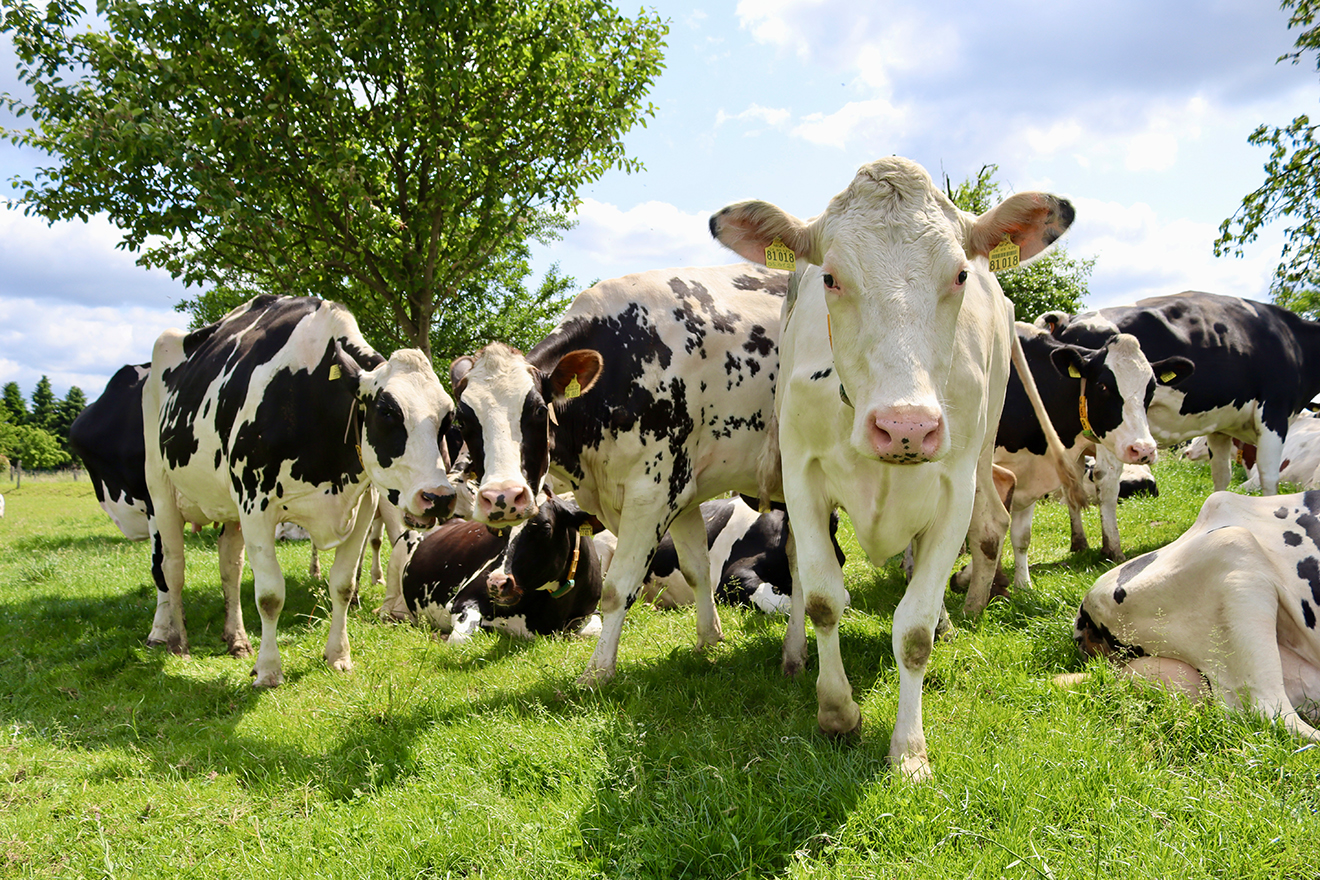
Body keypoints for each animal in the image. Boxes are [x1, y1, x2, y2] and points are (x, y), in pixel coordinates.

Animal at [142, 294, 458, 687]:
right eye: (387, 411)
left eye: (448, 415)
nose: (439, 497)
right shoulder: (255, 504)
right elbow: (269, 595)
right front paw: (268, 670)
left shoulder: (363, 503)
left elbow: (343, 585)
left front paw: (338, 655)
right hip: (160, 488)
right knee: (171, 566)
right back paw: (175, 640)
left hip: (228, 507)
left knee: (230, 566)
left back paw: (237, 639)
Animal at [390, 494, 602, 640]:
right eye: (503, 529)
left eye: (545, 528)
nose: (496, 582)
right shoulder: (461, 600)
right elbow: (459, 639)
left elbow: (595, 629)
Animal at [449, 263, 789, 686]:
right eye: (462, 421)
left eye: (539, 410)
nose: (503, 497)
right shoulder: (681, 493)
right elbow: (697, 571)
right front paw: (708, 642)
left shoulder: (653, 493)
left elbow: (617, 589)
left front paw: (597, 672)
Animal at [710, 156, 1075, 779]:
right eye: (831, 278)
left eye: (959, 275)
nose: (906, 425)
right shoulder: (801, 477)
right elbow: (824, 597)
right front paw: (836, 712)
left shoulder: (954, 487)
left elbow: (914, 630)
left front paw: (909, 749)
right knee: (800, 569)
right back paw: (794, 654)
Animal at [1041, 292, 1320, 505]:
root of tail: (1067, 319)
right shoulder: (1274, 412)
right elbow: (1268, 476)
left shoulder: (1220, 427)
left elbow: (1221, 476)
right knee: (1107, 478)